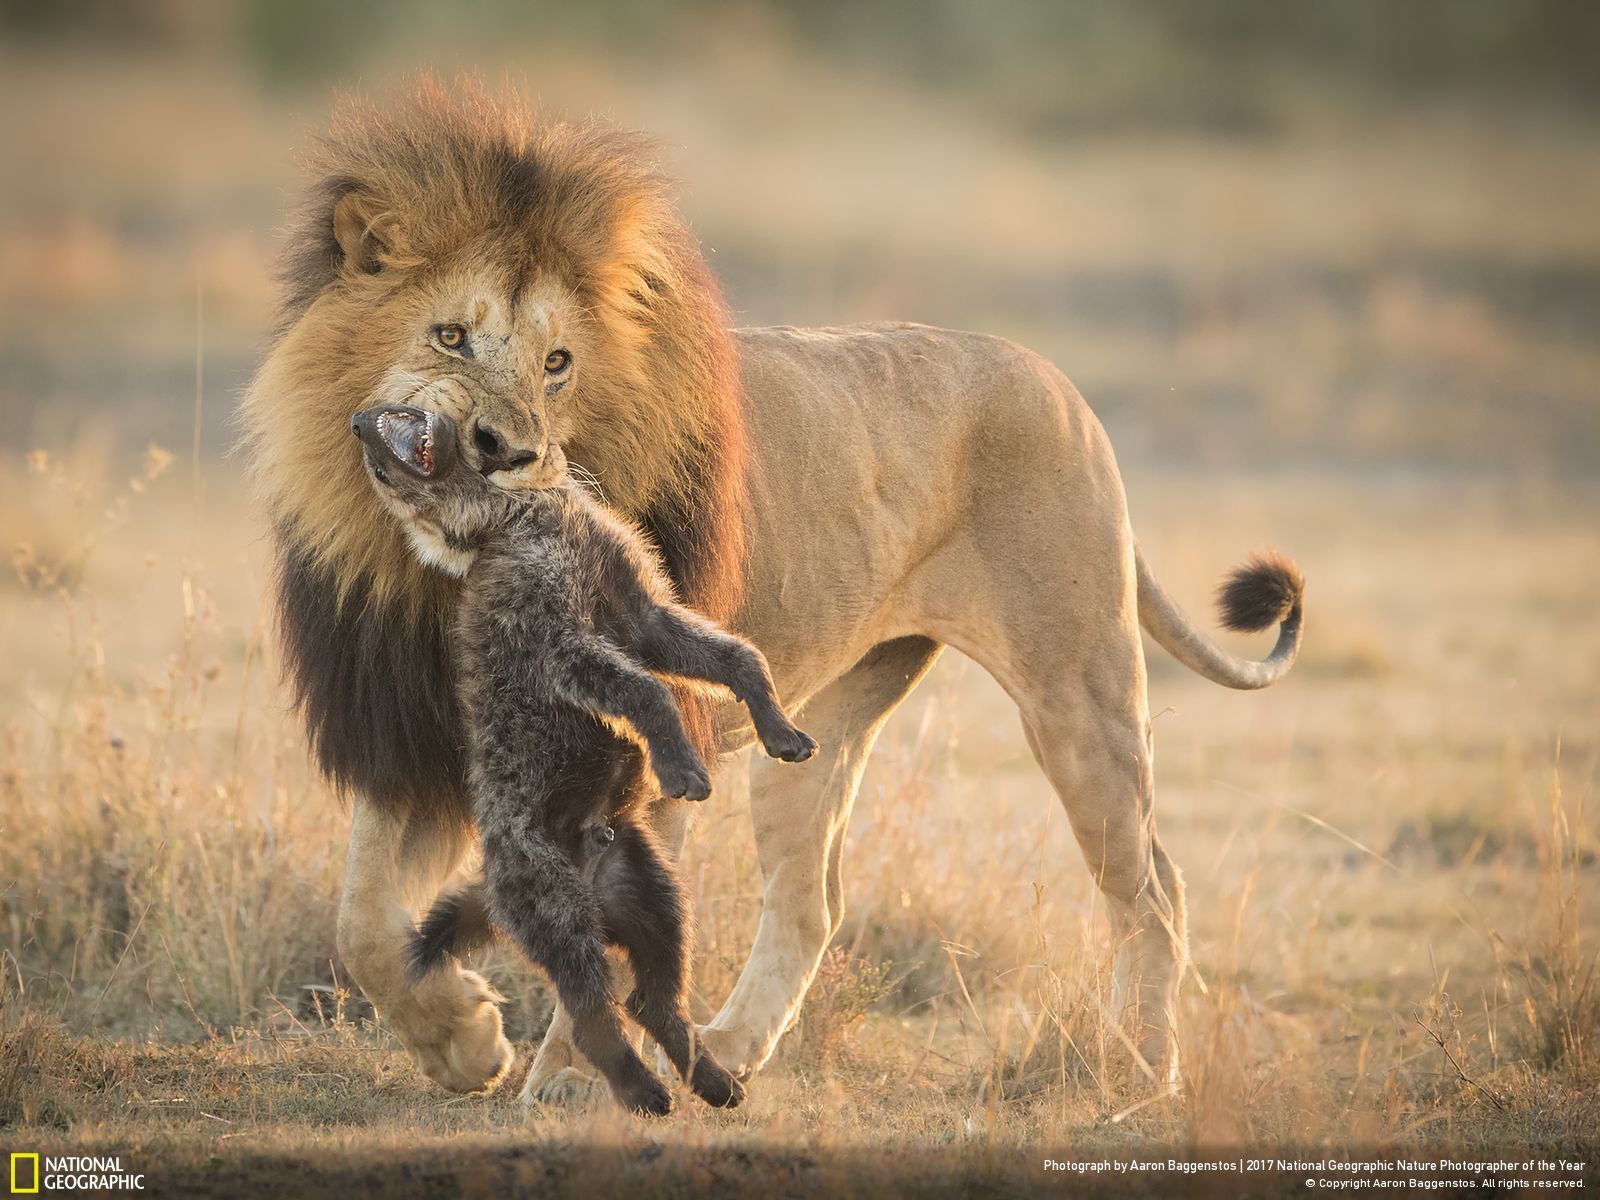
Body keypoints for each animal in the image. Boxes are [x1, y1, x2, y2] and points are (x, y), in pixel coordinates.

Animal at [243, 80, 1305, 1107]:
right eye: (451, 336)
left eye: (558, 362)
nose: (512, 453)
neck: (442, 570)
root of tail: (1062, 382)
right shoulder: (412, 731)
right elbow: (362, 924)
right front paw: (466, 1046)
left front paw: (565, 1077)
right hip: (827, 722)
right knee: (811, 900)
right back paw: (729, 1052)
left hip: (1078, 693)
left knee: (1152, 889)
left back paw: (1141, 1071)